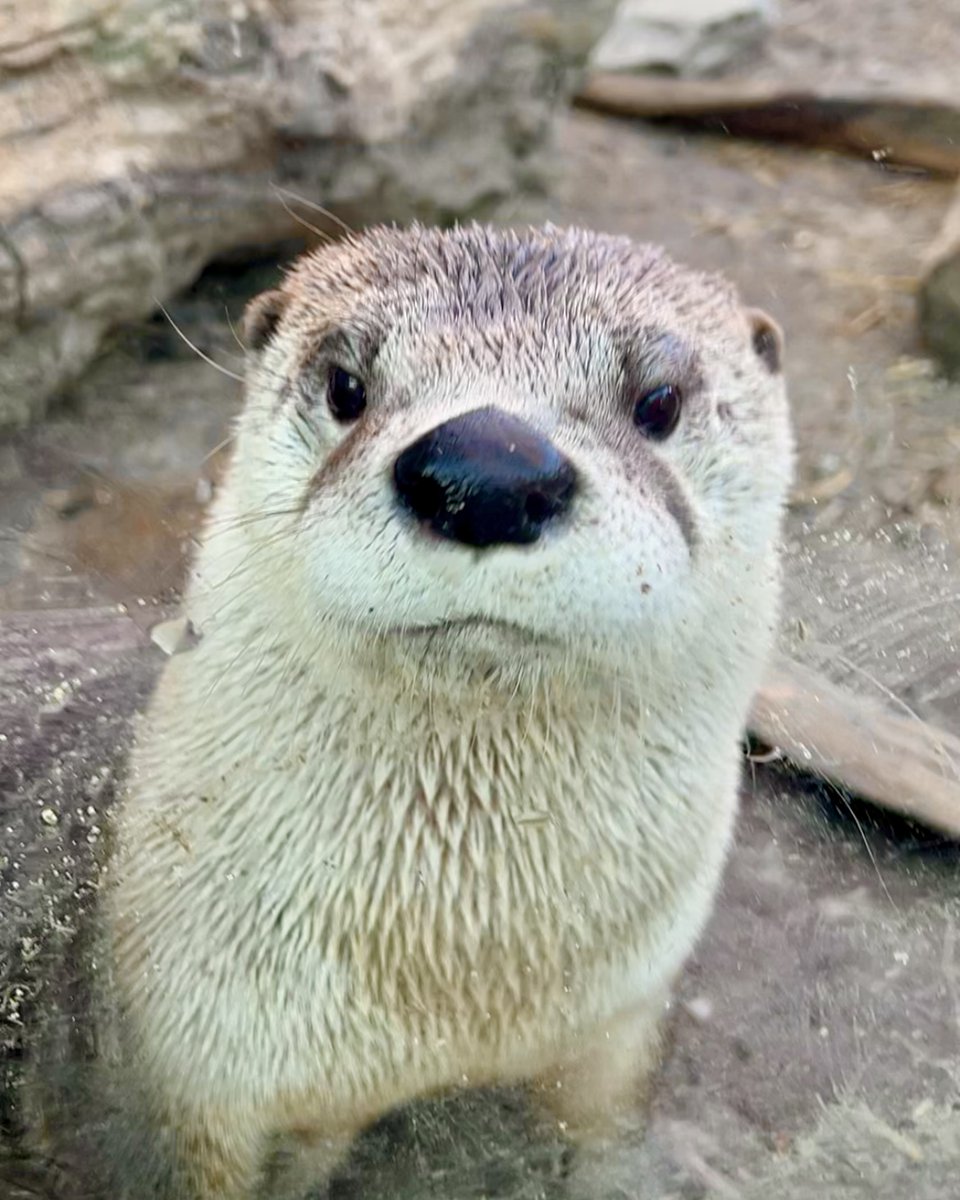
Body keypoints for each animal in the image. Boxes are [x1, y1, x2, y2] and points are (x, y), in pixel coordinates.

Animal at [106, 223, 793, 1198]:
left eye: (657, 402)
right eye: (346, 388)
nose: (490, 469)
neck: (440, 989)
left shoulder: (624, 1019)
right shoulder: (188, 1086)